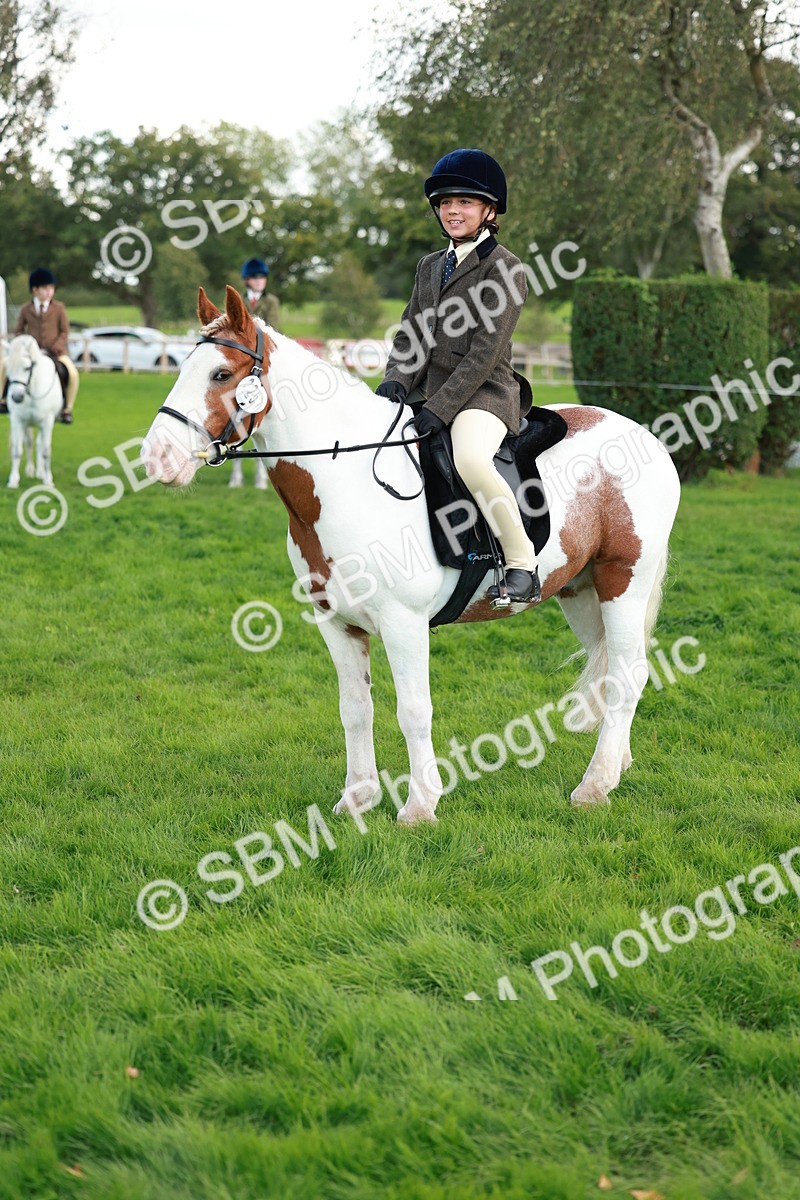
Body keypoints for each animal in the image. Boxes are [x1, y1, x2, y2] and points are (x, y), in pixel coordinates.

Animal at [5, 335, 64, 489]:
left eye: (27, 368)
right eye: (8, 368)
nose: (16, 397)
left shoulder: (48, 422)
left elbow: (46, 451)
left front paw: (48, 480)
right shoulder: (18, 420)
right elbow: (17, 451)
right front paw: (13, 480)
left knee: (39, 445)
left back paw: (40, 472)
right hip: (27, 424)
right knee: (30, 443)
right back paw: (31, 471)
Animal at [142, 286, 681, 824]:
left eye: (220, 374)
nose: (156, 459)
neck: (344, 478)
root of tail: (648, 438)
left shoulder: (404, 622)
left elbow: (413, 711)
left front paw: (420, 805)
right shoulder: (336, 623)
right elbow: (355, 709)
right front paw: (358, 799)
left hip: (623, 584)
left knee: (627, 676)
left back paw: (595, 786)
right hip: (581, 592)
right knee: (611, 669)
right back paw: (618, 765)